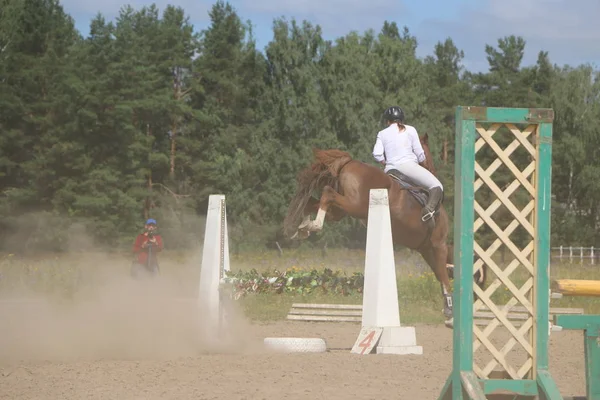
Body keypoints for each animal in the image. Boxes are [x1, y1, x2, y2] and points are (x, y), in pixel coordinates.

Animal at [284, 134, 486, 328]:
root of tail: (349, 162)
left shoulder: (426, 249)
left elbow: (441, 273)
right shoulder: (438, 245)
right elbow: (444, 277)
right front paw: (450, 314)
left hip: (342, 210)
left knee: (312, 202)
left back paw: (302, 228)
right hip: (355, 205)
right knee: (326, 194)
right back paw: (314, 225)